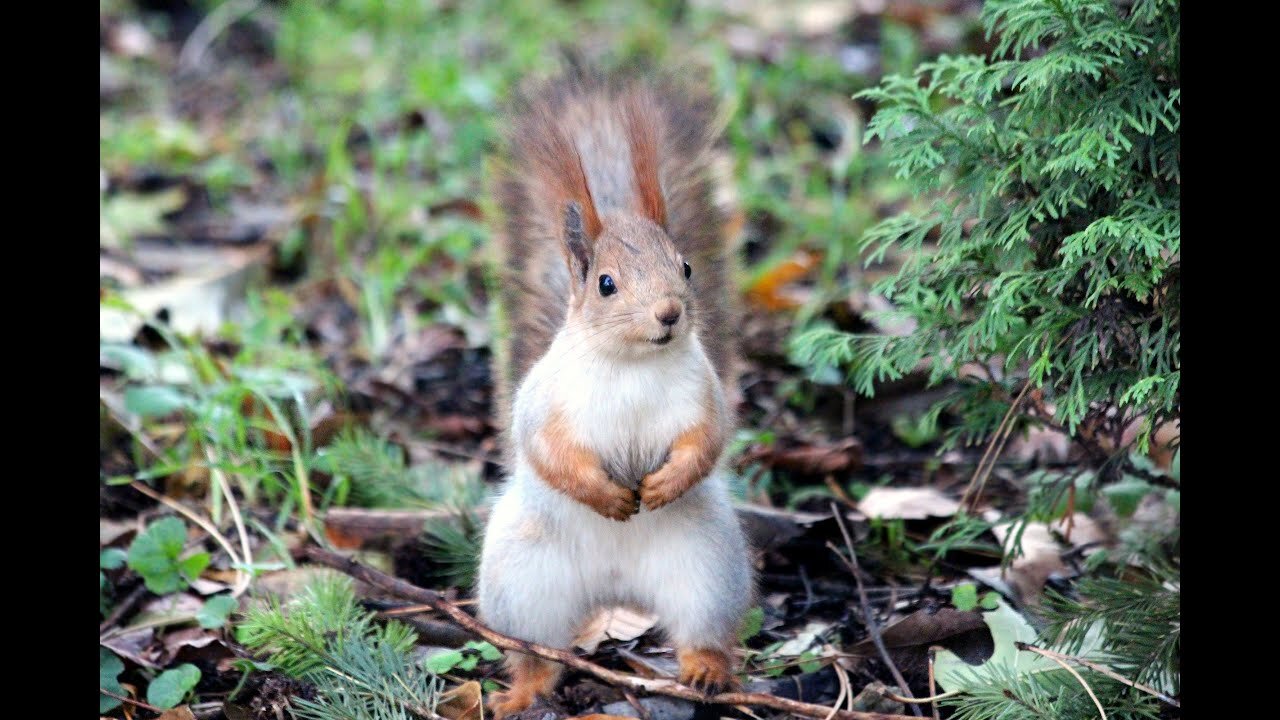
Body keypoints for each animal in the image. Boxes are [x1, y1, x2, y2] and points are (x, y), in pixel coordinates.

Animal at [481, 68, 757, 717]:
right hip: (520, 580)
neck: (632, 363)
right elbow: (549, 451)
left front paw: (664, 484)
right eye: (606, 284)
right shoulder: (546, 404)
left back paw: (706, 671)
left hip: (707, 569)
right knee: (533, 653)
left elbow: (707, 441)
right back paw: (523, 691)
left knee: (702, 631)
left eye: (685, 267)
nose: (670, 313)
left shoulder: (704, 395)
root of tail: (615, 591)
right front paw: (606, 497)